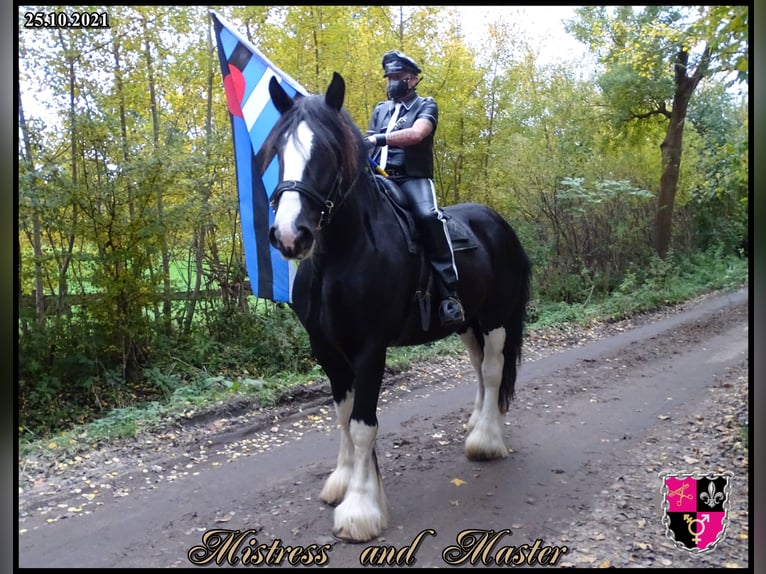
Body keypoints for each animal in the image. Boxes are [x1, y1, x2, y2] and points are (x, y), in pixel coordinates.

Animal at [260, 73, 532, 544]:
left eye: (327, 152)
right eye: (279, 151)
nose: (290, 235)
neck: (340, 255)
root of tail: (499, 225)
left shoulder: (370, 348)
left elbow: (362, 424)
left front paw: (361, 509)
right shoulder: (327, 350)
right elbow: (343, 415)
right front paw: (343, 481)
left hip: (497, 319)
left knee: (495, 369)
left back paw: (485, 440)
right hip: (467, 322)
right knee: (480, 370)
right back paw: (476, 422)